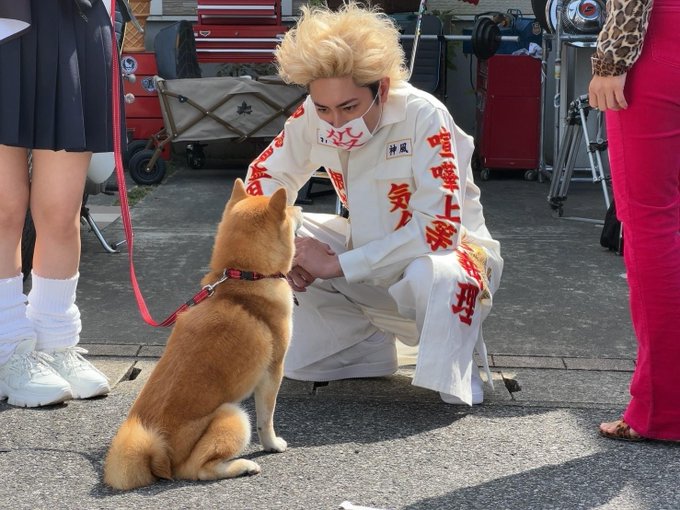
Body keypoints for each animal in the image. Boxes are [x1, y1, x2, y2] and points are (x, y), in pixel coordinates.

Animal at [103, 179, 301, 490]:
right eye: (291, 209)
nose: (302, 208)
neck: (244, 279)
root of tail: (159, 455)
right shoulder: (272, 371)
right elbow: (266, 419)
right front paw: (273, 444)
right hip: (233, 415)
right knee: (199, 470)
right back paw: (243, 466)